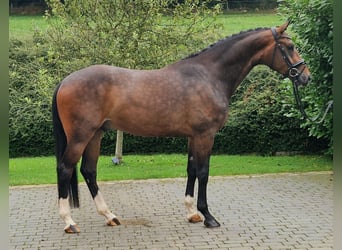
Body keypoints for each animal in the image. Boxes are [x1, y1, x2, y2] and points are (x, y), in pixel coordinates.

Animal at [52, 20, 310, 233]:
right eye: (289, 46)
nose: (305, 76)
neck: (209, 76)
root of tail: (65, 81)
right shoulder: (206, 135)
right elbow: (204, 172)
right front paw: (208, 217)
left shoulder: (193, 136)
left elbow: (192, 169)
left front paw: (192, 213)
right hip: (81, 136)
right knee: (65, 168)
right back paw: (69, 222)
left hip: (95, 135)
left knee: (89, 171)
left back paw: (109, 216)